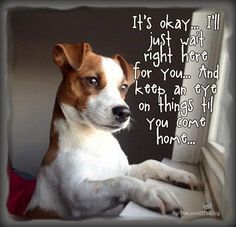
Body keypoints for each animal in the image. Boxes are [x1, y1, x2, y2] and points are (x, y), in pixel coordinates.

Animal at [24, 43, 201, 219]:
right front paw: (152, 190)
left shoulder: (127, 170)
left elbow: (151, 163)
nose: (124, 113)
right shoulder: (77, 194)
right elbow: (118, 181)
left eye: (123, 87)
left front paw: (181, 175)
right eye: (92, 80)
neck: (96, 139)